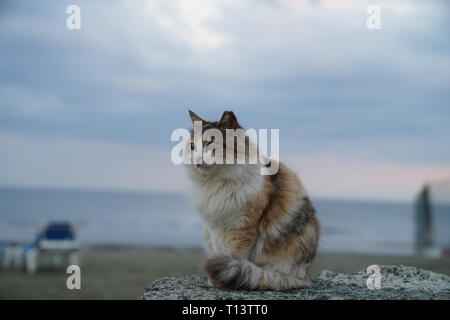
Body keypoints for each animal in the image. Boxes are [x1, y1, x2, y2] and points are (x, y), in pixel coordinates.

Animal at [185, 109, 318, 290]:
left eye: (209, 143)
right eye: (192, 146)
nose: (196, 159)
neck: (217, 182)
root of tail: (306, 277)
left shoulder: (242, 226)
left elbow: (234, 255)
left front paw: (221, 279)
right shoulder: (214, 228)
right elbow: (220, 251)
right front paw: (214, 280)